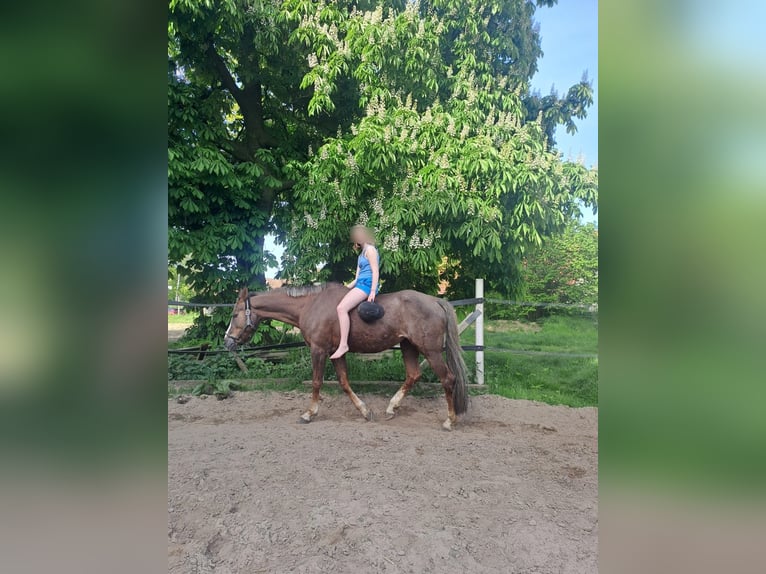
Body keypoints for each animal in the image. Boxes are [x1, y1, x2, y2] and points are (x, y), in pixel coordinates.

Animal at [223, 283, 469, 430]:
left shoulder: (319, 350)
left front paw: (309, 413)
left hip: (431, 351)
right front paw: (365, 411)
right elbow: (343, 382)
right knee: (413, 375)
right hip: (408, 346)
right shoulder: (335, 353)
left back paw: (450, 420)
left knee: (448, 379)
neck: (311, 305)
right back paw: (392, 407)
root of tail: (435, 301)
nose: (227, 342)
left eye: (235, 314)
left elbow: (316, 382)